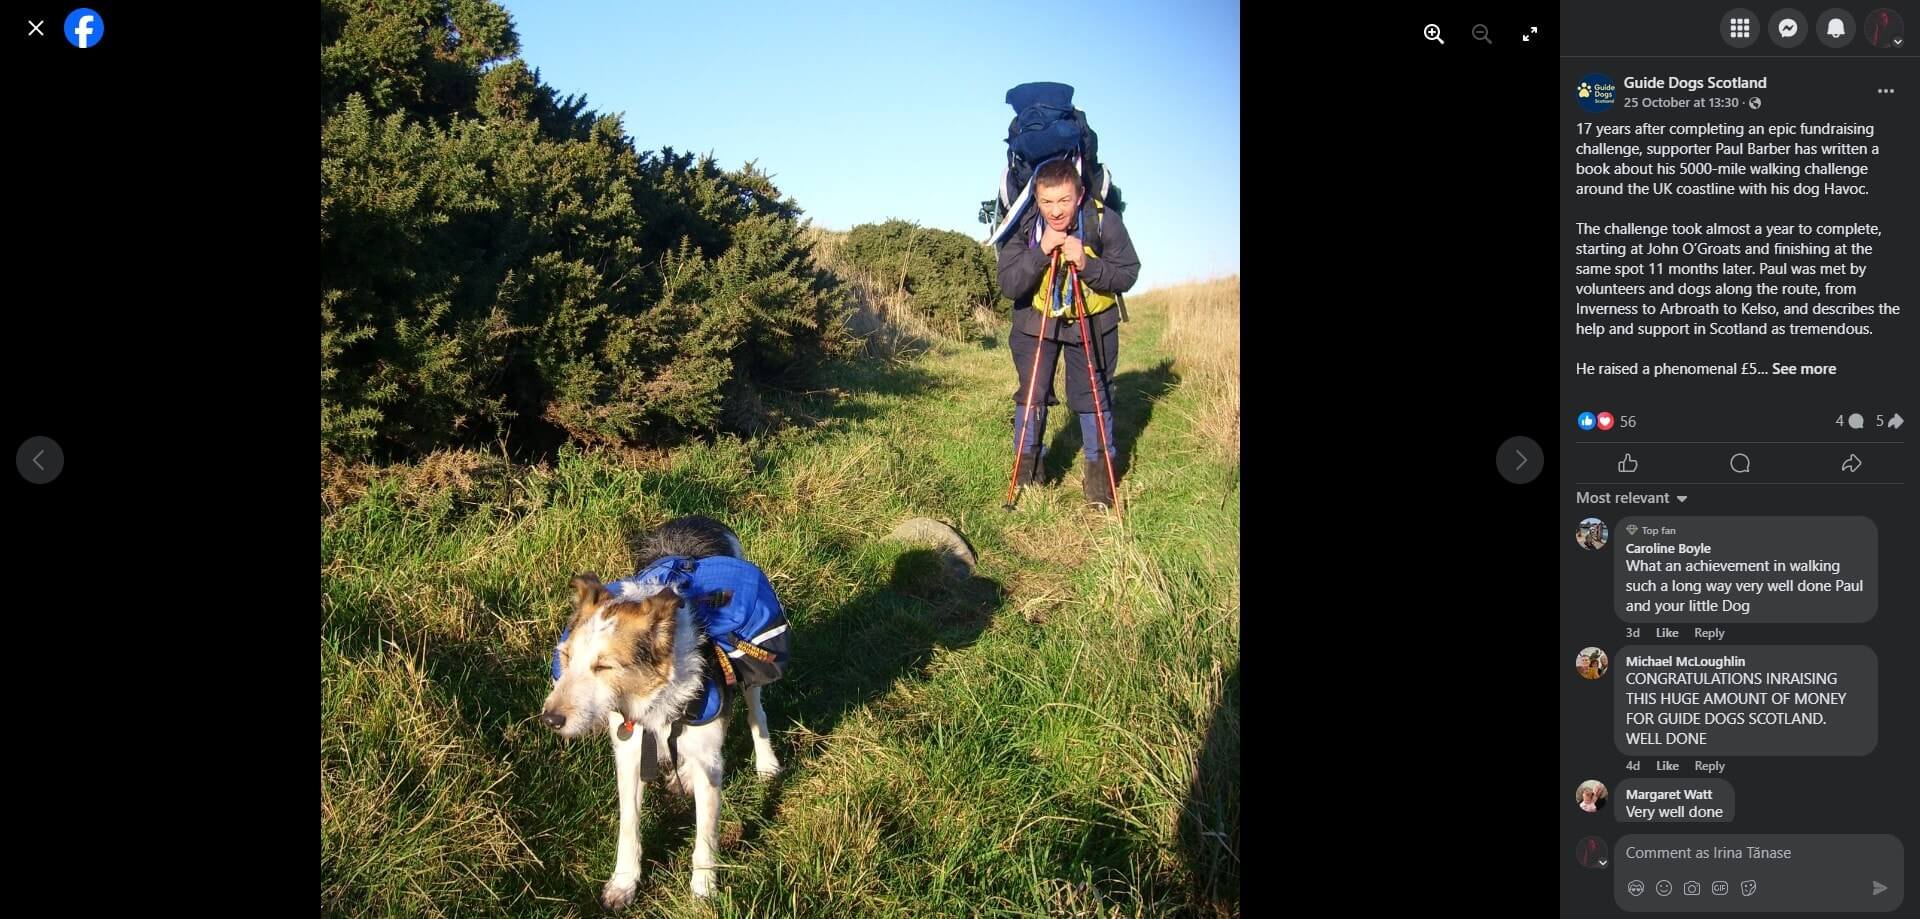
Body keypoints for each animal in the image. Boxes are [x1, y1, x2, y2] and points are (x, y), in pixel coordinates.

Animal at [537, 518, 783, 905]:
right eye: (566, 657)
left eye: (604, 666)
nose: (550, 719)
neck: (654, 697)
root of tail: (697, 519)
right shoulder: (630, 753)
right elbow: (629, 826)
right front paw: (623, 883)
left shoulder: (709, 758)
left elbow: (705, 837)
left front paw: (703, 890)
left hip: (750, 676)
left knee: (756, 712)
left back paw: (766, 763)